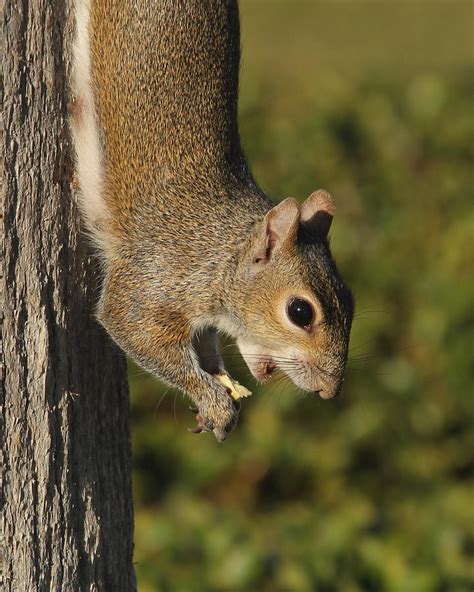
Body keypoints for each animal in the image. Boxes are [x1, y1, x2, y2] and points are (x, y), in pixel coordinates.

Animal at [69, 0, 352, 442]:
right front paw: (213, 401)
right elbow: (134, 328)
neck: (221, 249)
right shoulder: (155, 274)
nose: (329, 390)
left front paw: (216, 393)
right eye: (300, 312)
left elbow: (204, 349)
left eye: (351, 302)